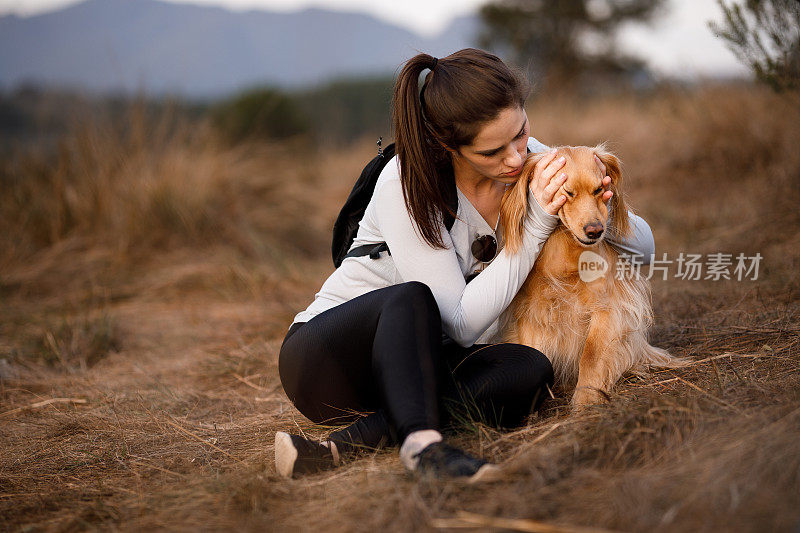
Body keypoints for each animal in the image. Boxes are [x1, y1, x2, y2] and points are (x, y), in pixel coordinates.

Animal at [500, 143, 680, 406]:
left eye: (599, 190)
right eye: (568, 192)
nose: (595, 231)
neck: (567, 249)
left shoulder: (607, 307)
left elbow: (591, 355)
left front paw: (586, 400)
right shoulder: (533, 313)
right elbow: (535, 351)